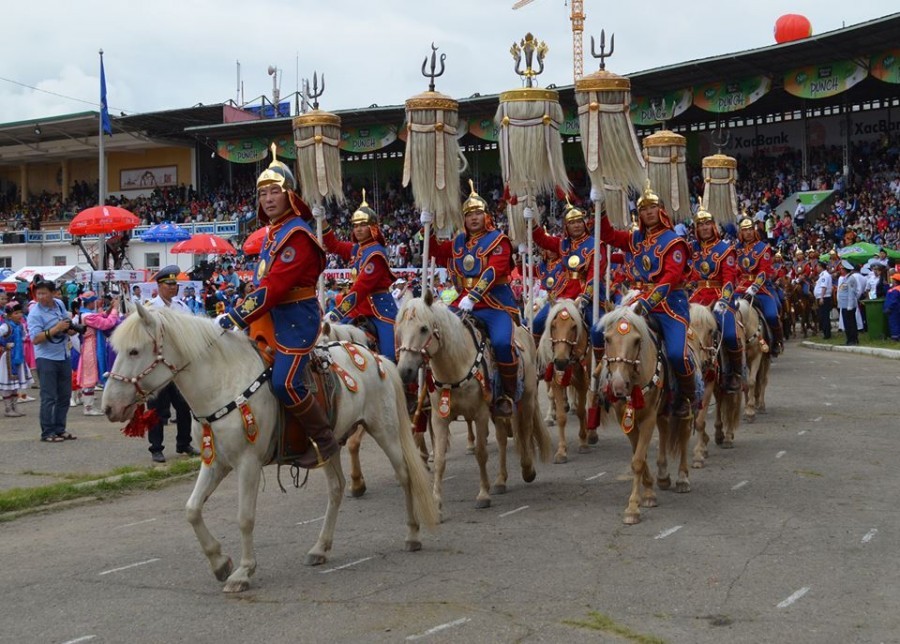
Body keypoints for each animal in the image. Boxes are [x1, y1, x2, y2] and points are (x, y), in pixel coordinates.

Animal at [102, 306, 440, 592]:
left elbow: (244, 517)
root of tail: (376, 357)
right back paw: (320, 547)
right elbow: (192, 509)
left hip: (385, 430)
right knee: (336, 488)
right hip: (329, 442)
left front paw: (243, 571)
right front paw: (220, 562)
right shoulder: (216, 462)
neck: (223, 382)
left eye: (134, 350)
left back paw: (412, 534)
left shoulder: (247, 463)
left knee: (405, 476)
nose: (108, 407)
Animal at [396, 292, 552, 520]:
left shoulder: (480, 414)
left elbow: (481, 453)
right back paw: (501, 480)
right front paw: (437, 504)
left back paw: (527, 469)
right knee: (503, 438)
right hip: (498, 410)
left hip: (527, 397)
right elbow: (440, 459)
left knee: (525, 429)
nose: (405, 371)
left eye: (423, 328)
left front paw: (483, 495)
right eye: (399, 330)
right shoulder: (439, 418)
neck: (455, 365)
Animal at [536, 300, 596, 466]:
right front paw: (561, 451)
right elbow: (562, 417)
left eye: (574, 326)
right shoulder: (555, 381)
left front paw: (583, 442)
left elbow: (582, 411)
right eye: (553, 325)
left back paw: (592, 434)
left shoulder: (583, 382)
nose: (561, 362)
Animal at [596, 306, 688, 524]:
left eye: (637, 340)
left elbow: (638, 460)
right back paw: (663, 476)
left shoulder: (647, 418)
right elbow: (640, 455)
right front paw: (648, 493)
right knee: (664, 430)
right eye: (607, 339)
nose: (619, 385)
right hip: (662, 409)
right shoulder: (626, 419)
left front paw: (633, 508)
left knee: (684, 436)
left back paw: (683, 478)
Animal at [688, 304, 744, 468]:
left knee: (731, 403)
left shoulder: (709, 383)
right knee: (720, 400)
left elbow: (699, 421)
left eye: (711, 331)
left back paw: (728, 437)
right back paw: (719, 434)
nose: (704, 362)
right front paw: (704, 444)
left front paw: (699, 454)